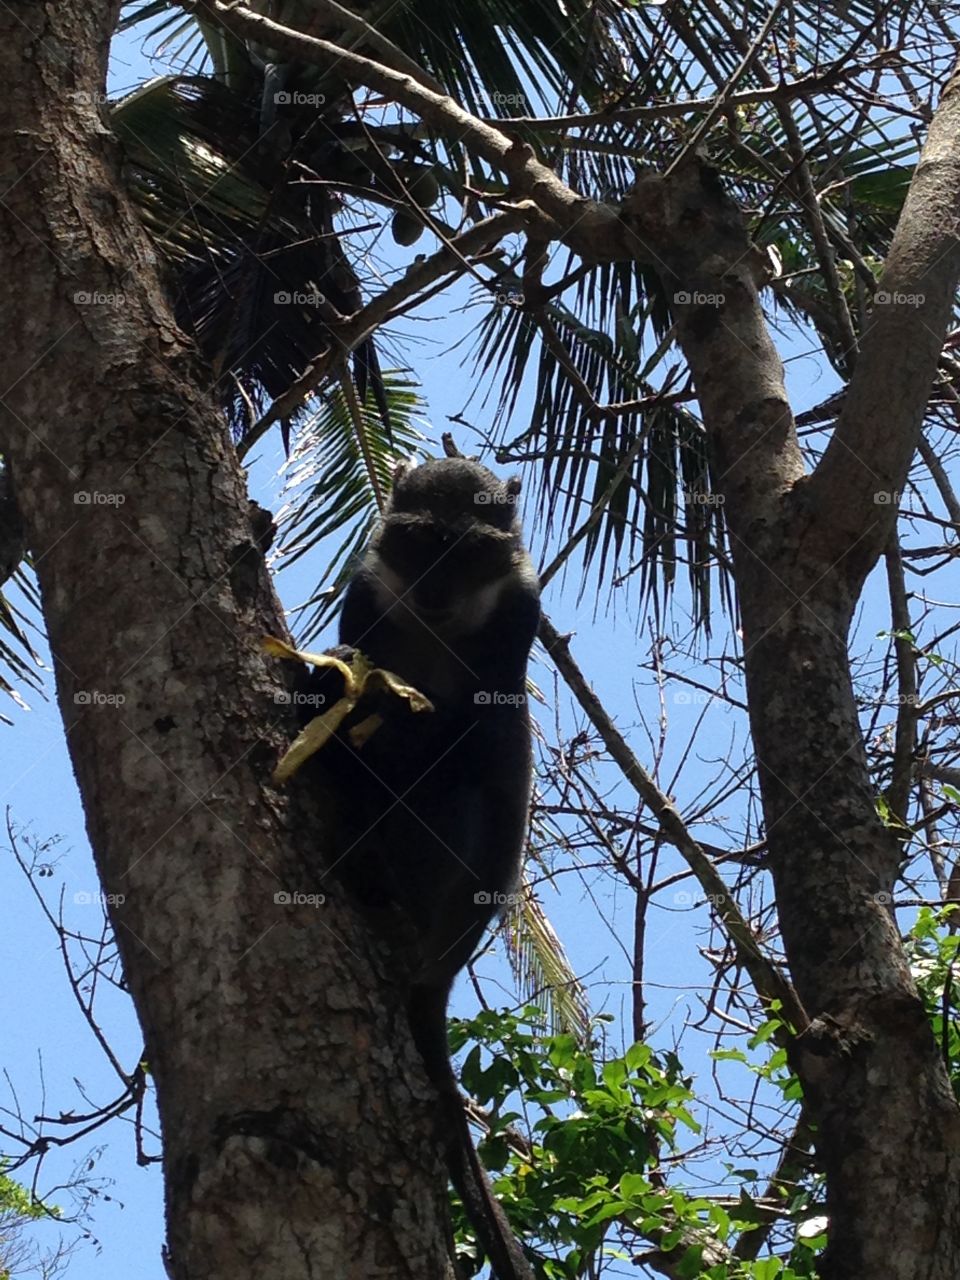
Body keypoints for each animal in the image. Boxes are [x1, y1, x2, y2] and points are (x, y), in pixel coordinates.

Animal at [295, 456, 540, 1279]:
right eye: (422, 541)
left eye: (464, 550)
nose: (433, 589)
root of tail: (444, 969)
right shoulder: (368, 589)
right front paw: (332, 686)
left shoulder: (519, 611)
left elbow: (480, 731)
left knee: (465, 777)